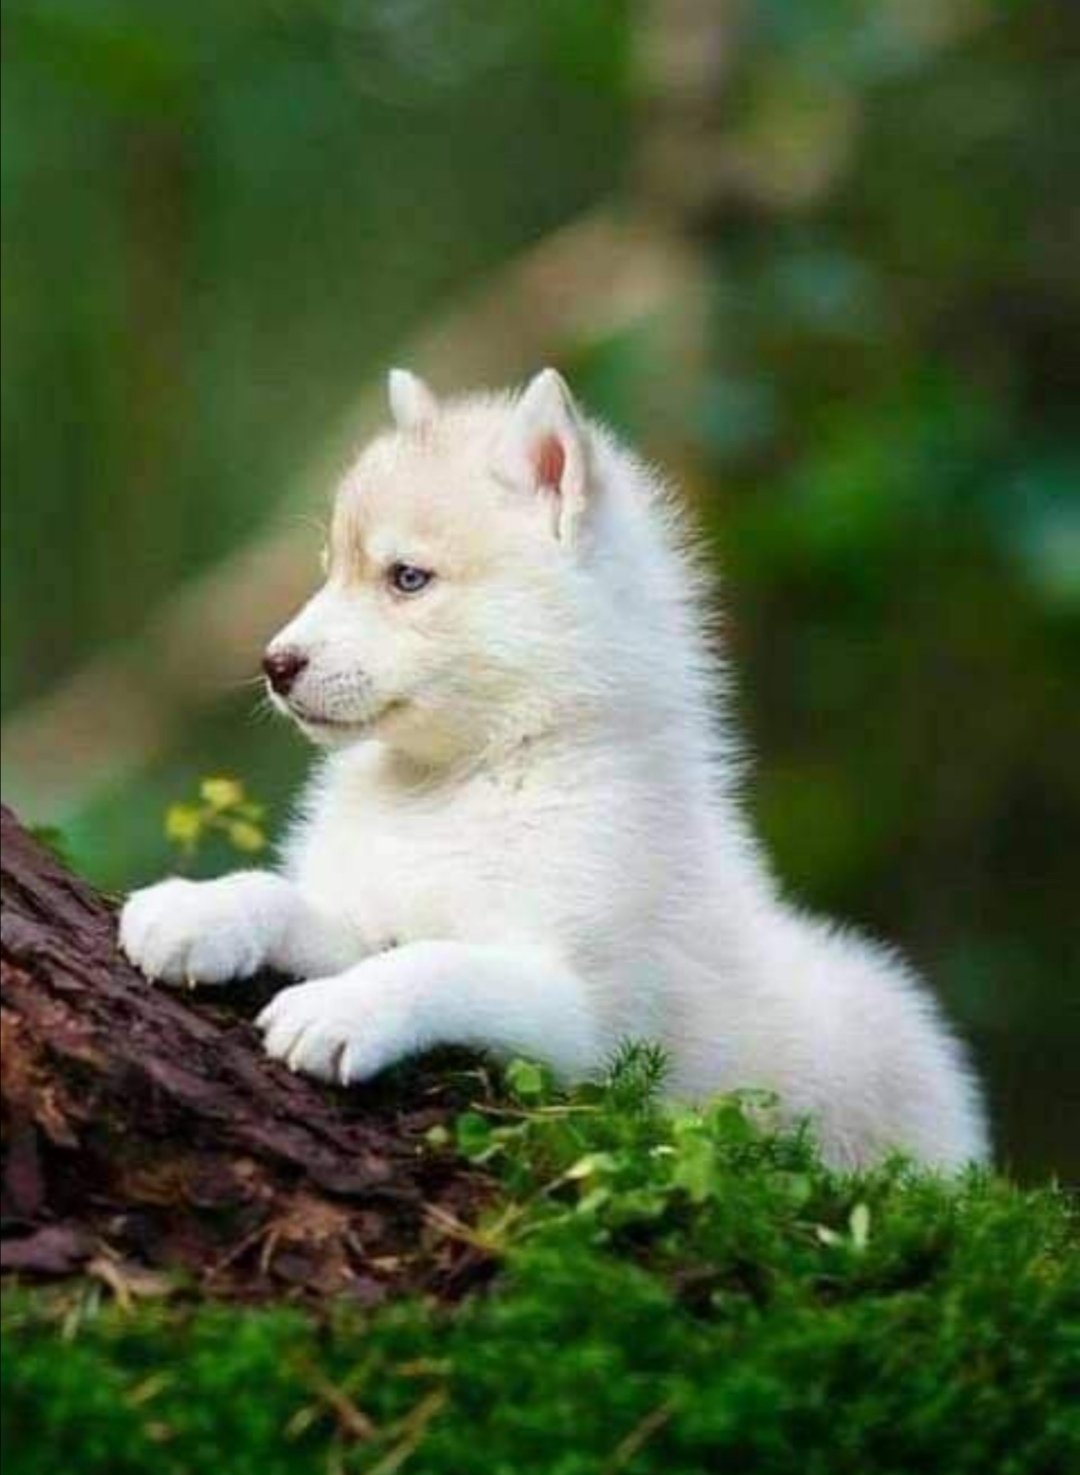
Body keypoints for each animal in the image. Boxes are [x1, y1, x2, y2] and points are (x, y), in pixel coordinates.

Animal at [120, 368, 988, 1168]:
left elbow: (441, 962)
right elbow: (289, 897)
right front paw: (198, 910)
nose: (275, 664)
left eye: (407, 578)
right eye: (330, 567)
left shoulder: (593, 1023)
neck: (473, 774)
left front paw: (342, 1010)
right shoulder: (375, 917)